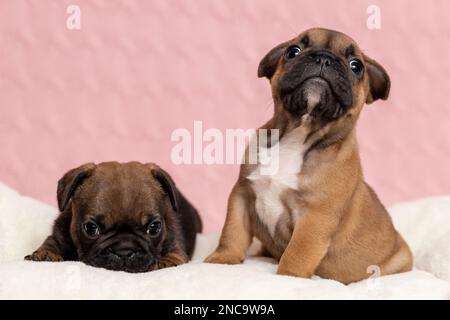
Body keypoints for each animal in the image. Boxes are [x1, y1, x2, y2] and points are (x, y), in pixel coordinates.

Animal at [25, 162, 202, 272]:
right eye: (91, 228)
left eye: (154, 228)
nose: (124, 251)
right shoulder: (59, 233)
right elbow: (51, 243)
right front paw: (45, 255)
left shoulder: (176, 248)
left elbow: (172, 257)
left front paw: (163, 263)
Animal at [206, 27, 414, 282]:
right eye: (293, 51)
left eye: (356, 66)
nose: (324, 58)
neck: (297, 136)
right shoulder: (242, 195)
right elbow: (232, 231)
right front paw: (222, 260)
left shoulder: (316, 216)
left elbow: (298, 251)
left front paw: (288, 276)